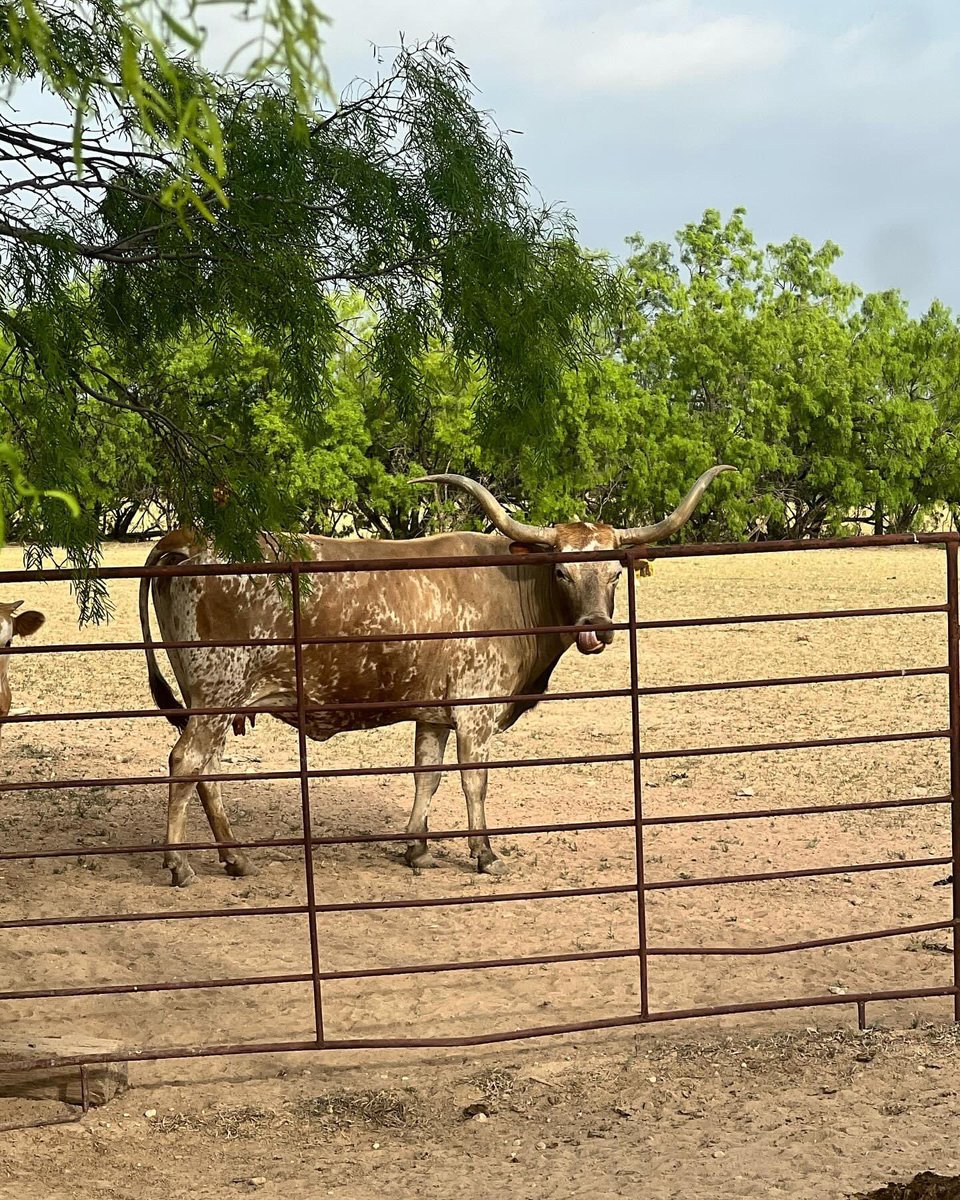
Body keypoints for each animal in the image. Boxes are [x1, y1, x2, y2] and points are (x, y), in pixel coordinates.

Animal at [138, 465, 729, 883]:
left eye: (614, 572)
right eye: (561, 569)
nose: (595, 629)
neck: (513, 582)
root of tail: (186, 540)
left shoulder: (434, 715)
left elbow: (427, 774)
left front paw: (416, 847)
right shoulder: (475, 713)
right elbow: (474, 781)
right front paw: (484, 852)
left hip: (216, 699)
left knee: (207, 769)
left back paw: (234, 858)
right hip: (217, 693)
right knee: (185, 762)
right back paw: (179, 864)